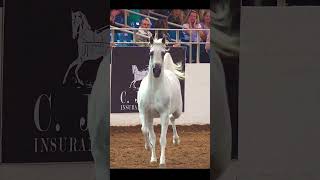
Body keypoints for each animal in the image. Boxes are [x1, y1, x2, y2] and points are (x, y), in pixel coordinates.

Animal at [137, 35, 185, 167]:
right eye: (151, 52)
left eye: (163, 53)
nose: (157, 71)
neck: (154, 90)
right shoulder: (145, 113)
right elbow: (147, 132)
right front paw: (151, 154)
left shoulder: (163, 115)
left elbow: (162, 139)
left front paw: (162, 161)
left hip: (177, 111)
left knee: (172, 118)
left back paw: (176, 139)